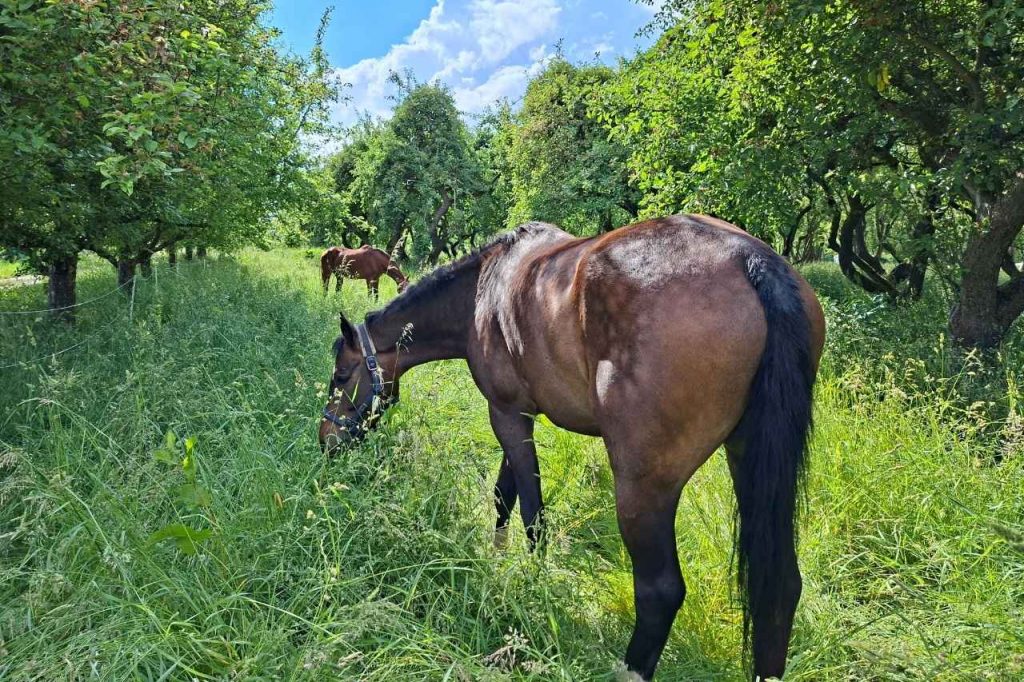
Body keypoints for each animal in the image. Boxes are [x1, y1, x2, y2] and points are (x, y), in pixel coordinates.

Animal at [318, 214, 825, 681]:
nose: (326, 443)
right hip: (748, 461)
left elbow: (532, 513)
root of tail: (751, 260)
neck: (483, 289)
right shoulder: (519, 413)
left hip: (643, 486)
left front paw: (532, 585)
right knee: (781, 588)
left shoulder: (505, 414)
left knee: (660, 591)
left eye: (341, 376)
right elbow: (504, 495)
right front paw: (498, 559)